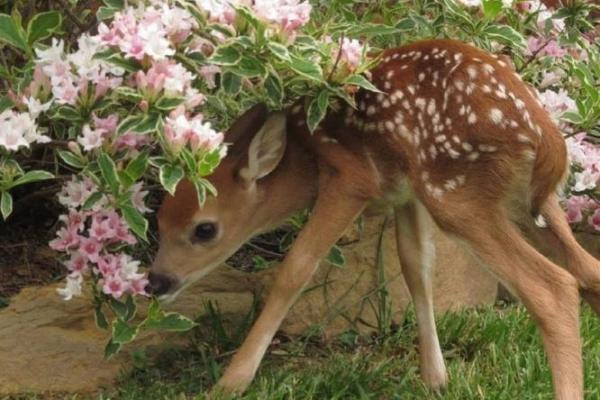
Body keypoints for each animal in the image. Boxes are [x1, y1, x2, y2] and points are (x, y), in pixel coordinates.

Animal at [148, 39, 600, 398]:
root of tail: (545, 135)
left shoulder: (351, 181)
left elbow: (295, 270)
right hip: (526, 203)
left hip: (457, 194)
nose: (157, 282)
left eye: (204, 229)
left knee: (554, 288)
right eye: (158, 220)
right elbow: (416, 267)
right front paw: (436, 378)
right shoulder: (406, 193)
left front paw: (231, 382)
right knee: (588, 271)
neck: (305, 157)